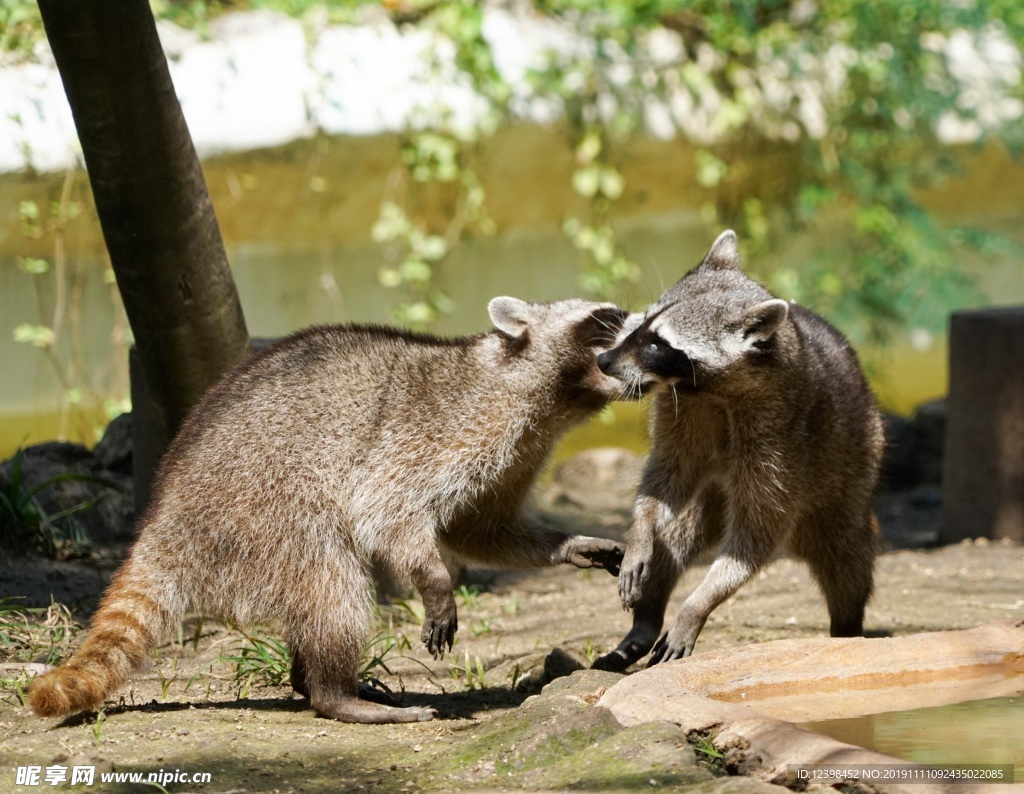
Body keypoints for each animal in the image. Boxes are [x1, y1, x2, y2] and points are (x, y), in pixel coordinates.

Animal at [29, 295, 622, 725]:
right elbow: (386, 508)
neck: (545, 397)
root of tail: (163, 519)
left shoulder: (517, 455)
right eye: (608, 316)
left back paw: (313, 679)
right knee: (334, 586)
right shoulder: (442, 430)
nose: (640, 319)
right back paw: (334, 693)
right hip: (263, 510)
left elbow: (479, 529)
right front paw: (433, 578)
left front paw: (566, 545)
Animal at [589, 232, 884, 672]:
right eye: (642, 323)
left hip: (851, 465)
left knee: (848, 557)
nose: (604, 360)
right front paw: (640, 528)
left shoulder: (779, 445)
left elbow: (755, 538)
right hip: (713, 496)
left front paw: (696, 606)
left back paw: (847, 627)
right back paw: (645, 621)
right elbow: (666, 477)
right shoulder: (682, 413)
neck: (709, 389)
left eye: (659, 344)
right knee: (675, 537)